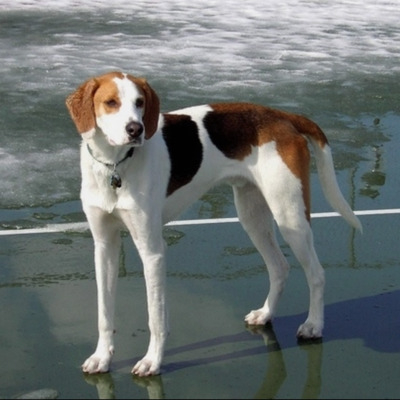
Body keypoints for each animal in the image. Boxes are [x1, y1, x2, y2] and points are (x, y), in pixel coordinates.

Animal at [65, 71, 362, 376]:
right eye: (111, 102)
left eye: (140, 102)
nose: (136, 129)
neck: (115, 165)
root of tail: (283, 116)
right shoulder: (104, 247)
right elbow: (104, 313)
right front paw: (102, 357)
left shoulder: (152, 252)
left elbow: (155, 316)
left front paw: (152, 361)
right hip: (252, 216)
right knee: (279, 267)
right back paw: (266, 313)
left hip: (290, 216)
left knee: (316, 273)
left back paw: (314, 325)